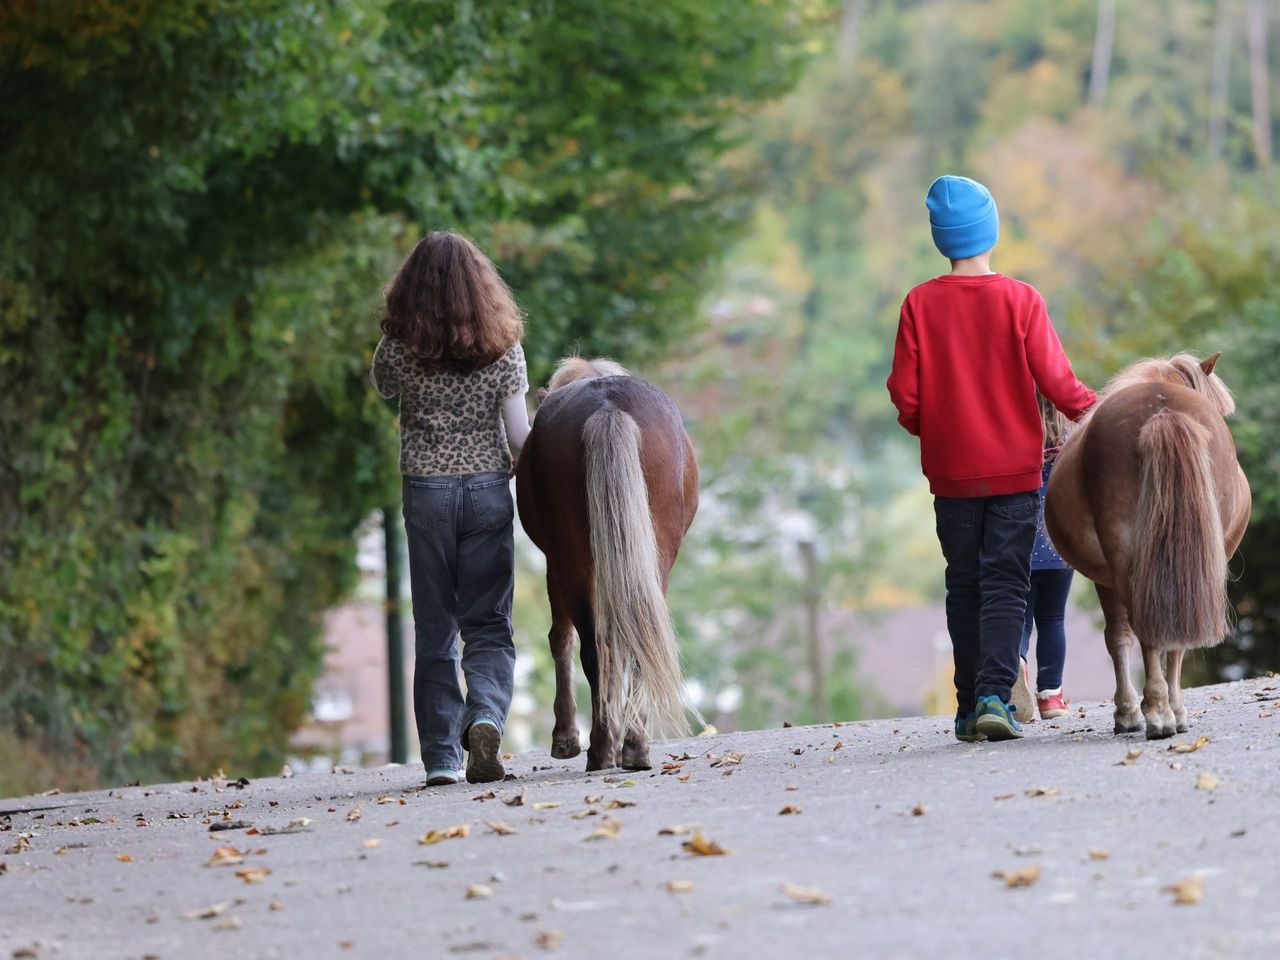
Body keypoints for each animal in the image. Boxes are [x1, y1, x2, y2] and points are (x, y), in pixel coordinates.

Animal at [515, 357, 700, 771]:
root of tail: (608, 407)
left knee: (593, 649)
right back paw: (632, 747)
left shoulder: (553, 563)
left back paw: (602, 749)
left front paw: (565, 738)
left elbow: (562, 638)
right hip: (652, 558)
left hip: (572, 563)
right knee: (635, 641)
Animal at [1044, 353, 1251, 739]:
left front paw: (1128, 712)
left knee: (1151, 630)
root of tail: (1163, 410)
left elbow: (1117, 637)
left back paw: (1158, 712)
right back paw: (1168, 710)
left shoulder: (1105, 578)